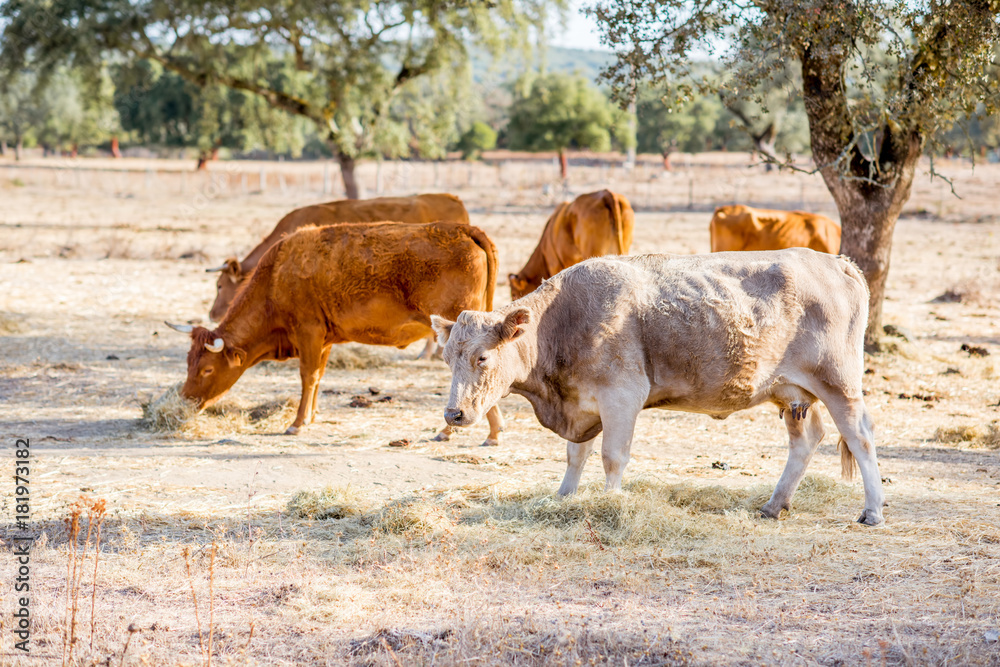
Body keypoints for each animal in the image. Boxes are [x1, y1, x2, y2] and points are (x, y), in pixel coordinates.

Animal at [169, 222, 508, 446]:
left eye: (207, 369)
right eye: (188, 363)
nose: (184, 400)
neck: (278, 274)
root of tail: (464, 230)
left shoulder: (308, 332)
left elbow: (307, 376)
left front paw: (296, 423)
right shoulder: (324, 339)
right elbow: (318, 377)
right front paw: (311, 416)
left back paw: (448, 430)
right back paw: (492, 433)